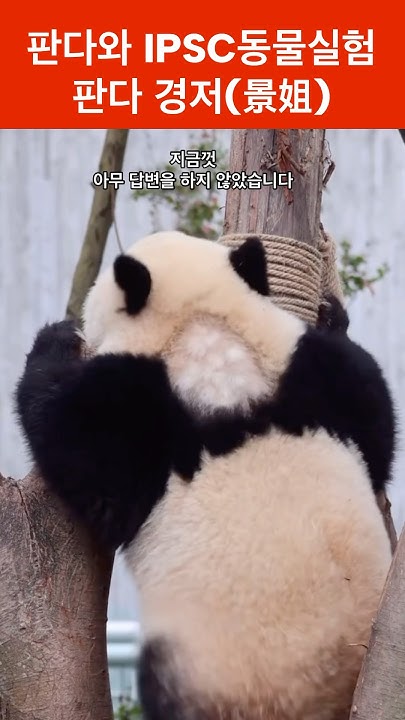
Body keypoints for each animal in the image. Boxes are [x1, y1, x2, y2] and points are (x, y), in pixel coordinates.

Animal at [16, 230, 396, 720]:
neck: (209, 338)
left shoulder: (134, 410)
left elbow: (82, 453)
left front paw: (55, 340)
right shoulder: (312, 374)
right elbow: (377, 433)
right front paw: (332, 315)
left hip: (199, 668)